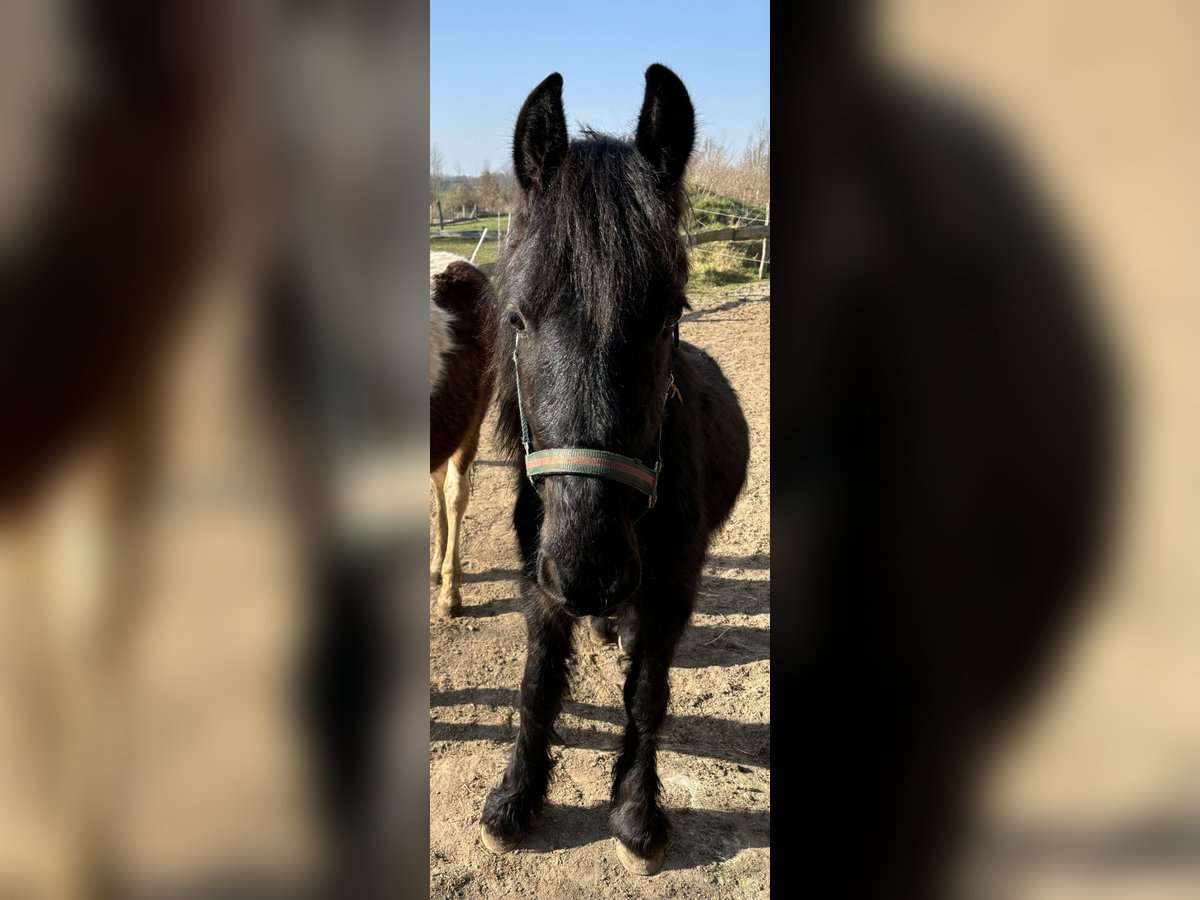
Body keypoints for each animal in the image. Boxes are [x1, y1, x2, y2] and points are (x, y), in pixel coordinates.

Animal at [480, 66, 748, 878]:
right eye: (518, 318)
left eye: (669, 315)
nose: (590, 570)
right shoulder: (539, 581)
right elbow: (538, 688)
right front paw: (515, 800)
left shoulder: (671, 589)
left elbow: (647, 695)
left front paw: (635, 813)